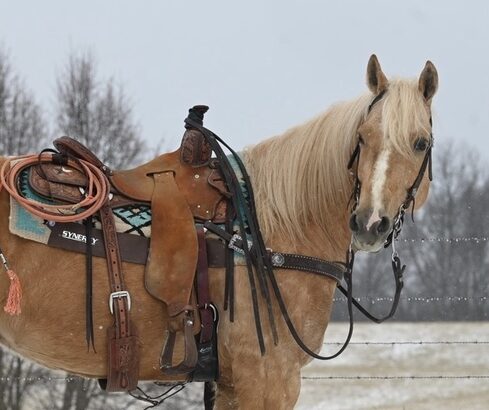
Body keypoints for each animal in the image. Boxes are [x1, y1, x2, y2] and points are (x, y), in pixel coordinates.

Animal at [0, 55, 436, 410]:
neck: (274, 231)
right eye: (362, 138)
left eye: (420, 143)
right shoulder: (266, 380)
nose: (370, 223)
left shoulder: (232, 384)